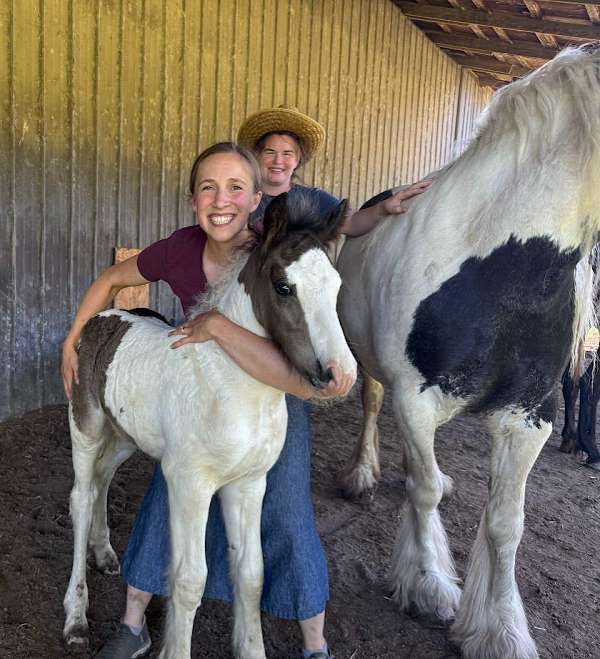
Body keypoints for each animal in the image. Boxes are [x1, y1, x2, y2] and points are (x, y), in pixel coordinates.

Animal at [62, 193, 357, 659]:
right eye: (284, 287)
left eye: (336, 285)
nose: (341, 375)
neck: (233, 388)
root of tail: (104, 316)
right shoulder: (190, 483)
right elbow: (189, 579)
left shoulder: (249, 483)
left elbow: (252, 575)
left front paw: (251, 648)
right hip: (86, 425)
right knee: (81, 496)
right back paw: (75, 618)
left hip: (126, 435)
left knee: (103, 478)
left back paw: (105, 552)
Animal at [336, 46, 600, 659]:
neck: (503, 265)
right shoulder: (414, 398)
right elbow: (424, 488)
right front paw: (429, 585)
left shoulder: (531, 418)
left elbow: (505, 522)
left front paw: (499, 629)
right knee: (375, 411)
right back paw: (363, 474)